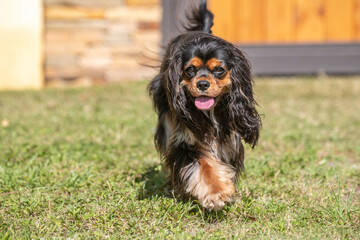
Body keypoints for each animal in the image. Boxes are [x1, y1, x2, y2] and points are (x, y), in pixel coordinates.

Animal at [148, 0, 260, 210]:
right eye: (190, 69)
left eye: (219, 69)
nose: (202, 84)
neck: (210, 112)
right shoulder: (184, 141)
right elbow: (204, 164)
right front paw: (216, 194)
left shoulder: (230, 140)